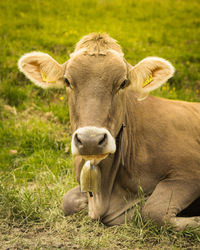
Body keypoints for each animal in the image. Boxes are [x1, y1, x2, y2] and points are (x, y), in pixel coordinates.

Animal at [18, 32, 200, 230]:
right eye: (67, 81)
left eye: (123, 83)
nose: (90, 140)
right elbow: (67, 201)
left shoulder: (189, 173)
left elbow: (153, 211)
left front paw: (196, 220)